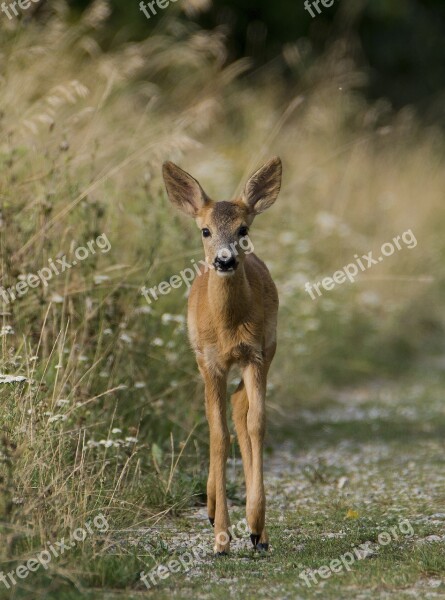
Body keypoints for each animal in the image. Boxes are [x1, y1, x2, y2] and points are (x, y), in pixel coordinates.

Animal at [162, 155, 280, 552]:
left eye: (243, 228)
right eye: (205, 231)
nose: (225, 261)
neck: (228, 327)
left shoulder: (255, 354)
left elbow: (256, 423)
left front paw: (255, 526)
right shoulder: (211, 361)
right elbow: (217, 434)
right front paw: (221, 539)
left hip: (269, 350)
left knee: (241, 406)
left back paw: (258, 533)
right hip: (201, 358)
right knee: (221, 417)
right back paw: (214, 510)